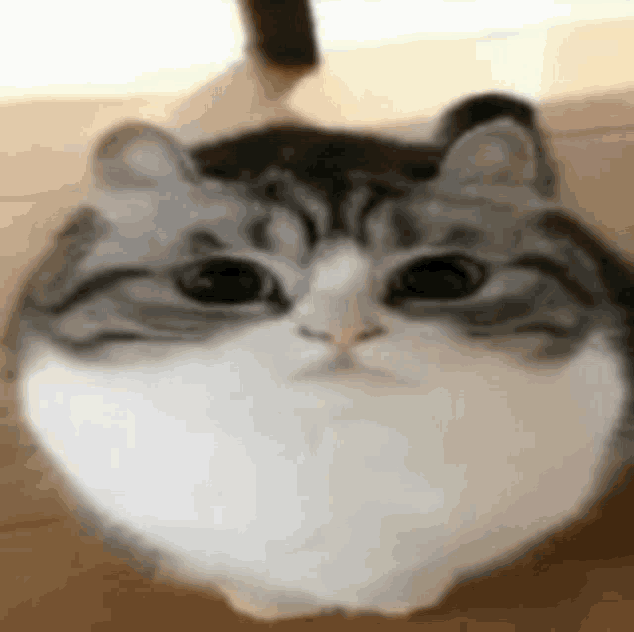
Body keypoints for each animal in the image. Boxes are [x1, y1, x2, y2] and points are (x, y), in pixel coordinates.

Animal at [8, 96, 632, 620]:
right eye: (223, 282)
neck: (330, 443)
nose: (342, 329)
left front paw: (405, 597)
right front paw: (266, 603)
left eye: (442, 278)